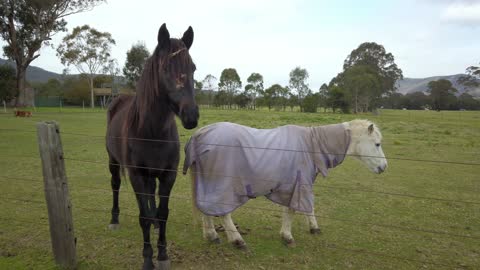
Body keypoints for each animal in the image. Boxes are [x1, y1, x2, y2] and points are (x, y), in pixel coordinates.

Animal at [106, 24, 198, 268]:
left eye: (193, 68)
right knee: (116, 185)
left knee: (151, 196)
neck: (152, 133)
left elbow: (163, 213)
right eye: (165, 68)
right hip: (114, 162)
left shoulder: (167, 175)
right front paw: (148, 258)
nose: (191, 116)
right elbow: (143, 217)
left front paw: (163, 254)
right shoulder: (137, 175)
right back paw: (114, 218)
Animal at [182, 119, 388, 249]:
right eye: (377, 144)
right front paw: (287, 236)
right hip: (223, 185)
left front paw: (313, 227)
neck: (312, 145)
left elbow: (305, 207)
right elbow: (293, 210)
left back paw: (212, 236)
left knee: (207, 209)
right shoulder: (299, 183)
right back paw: (237, 240)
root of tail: (199, 134)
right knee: (223, 212)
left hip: (207, 181)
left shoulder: (296, 184)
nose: (384, 167)